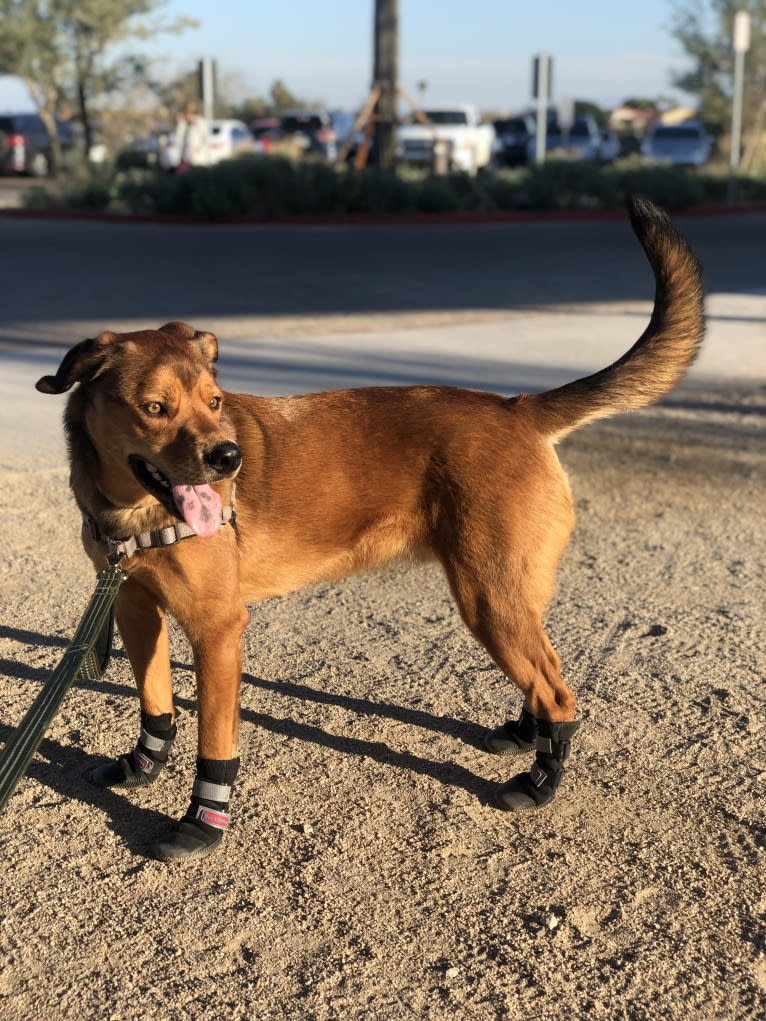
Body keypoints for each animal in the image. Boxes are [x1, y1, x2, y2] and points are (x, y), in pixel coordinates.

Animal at [37, 195, 706, 857]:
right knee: (547, 669)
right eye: (155, 408)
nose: (230, 459)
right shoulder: (135, 607)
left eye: (216, 401)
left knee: (559, 692)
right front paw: (143, 765)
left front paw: (205, 821)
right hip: (509, 596)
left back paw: (540, 780)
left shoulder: (217, 630)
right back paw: (527, 733)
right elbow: (155, 702)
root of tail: (517, 409)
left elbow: (216, 743)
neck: (135, 512)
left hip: (488, 598)